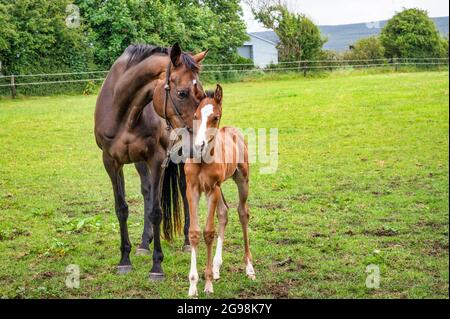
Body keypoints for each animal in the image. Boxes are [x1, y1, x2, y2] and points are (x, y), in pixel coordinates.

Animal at [184, 84, 255, 298]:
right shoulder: (192, 189)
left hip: (242, 180)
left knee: (242, 213)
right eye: (196, 115)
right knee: (224, 213)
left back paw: (249, 267)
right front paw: (193, 285)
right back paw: (216, 267)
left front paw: (207, 284)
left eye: (215, 117)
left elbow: (208, 232)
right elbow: (194, 232)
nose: (198, 147)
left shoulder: (212, 189)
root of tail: (232, 130)